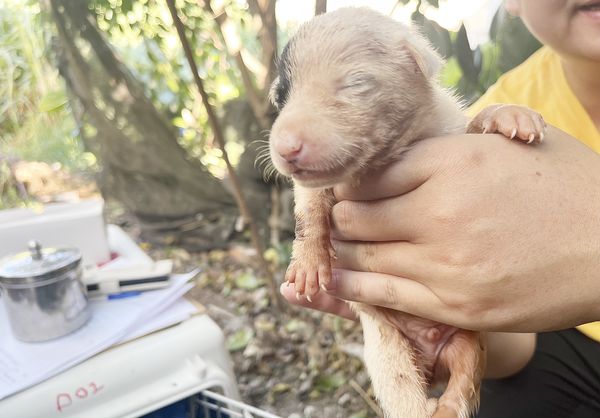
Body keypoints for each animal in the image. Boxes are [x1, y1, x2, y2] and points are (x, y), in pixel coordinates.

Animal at [270, 7, 548, 418]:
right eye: (280, 98)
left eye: (354, 84)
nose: (285, 149)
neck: (387, 156)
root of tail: (431, 363)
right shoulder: (317, 187)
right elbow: (309, 210)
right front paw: (307, 263)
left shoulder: (451, 129)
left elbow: (477, 119)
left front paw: (510, 115)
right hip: (388, 353)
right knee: (404, 393)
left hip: (467, 342)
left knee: (465, 378)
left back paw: (447, 405)